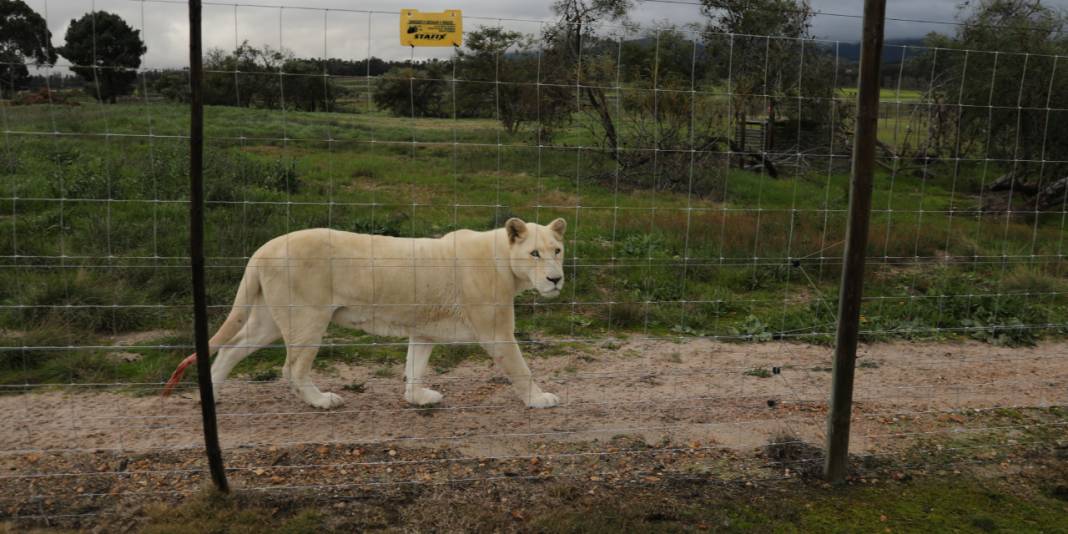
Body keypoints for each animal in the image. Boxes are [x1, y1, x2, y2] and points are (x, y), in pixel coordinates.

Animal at [161, 216, 568, 407]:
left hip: (269, 320)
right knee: (292, 368)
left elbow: (414, 367)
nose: (556, 279)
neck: (507, 265)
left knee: (231, 349)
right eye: (534, 253)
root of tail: (263, 248)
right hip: (307, 318)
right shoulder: (496, 332)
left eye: (557, 251)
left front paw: (418, 399)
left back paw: (212, 396)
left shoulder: (424, 329)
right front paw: (540, 399)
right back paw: (322, 401)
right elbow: (521, 368)